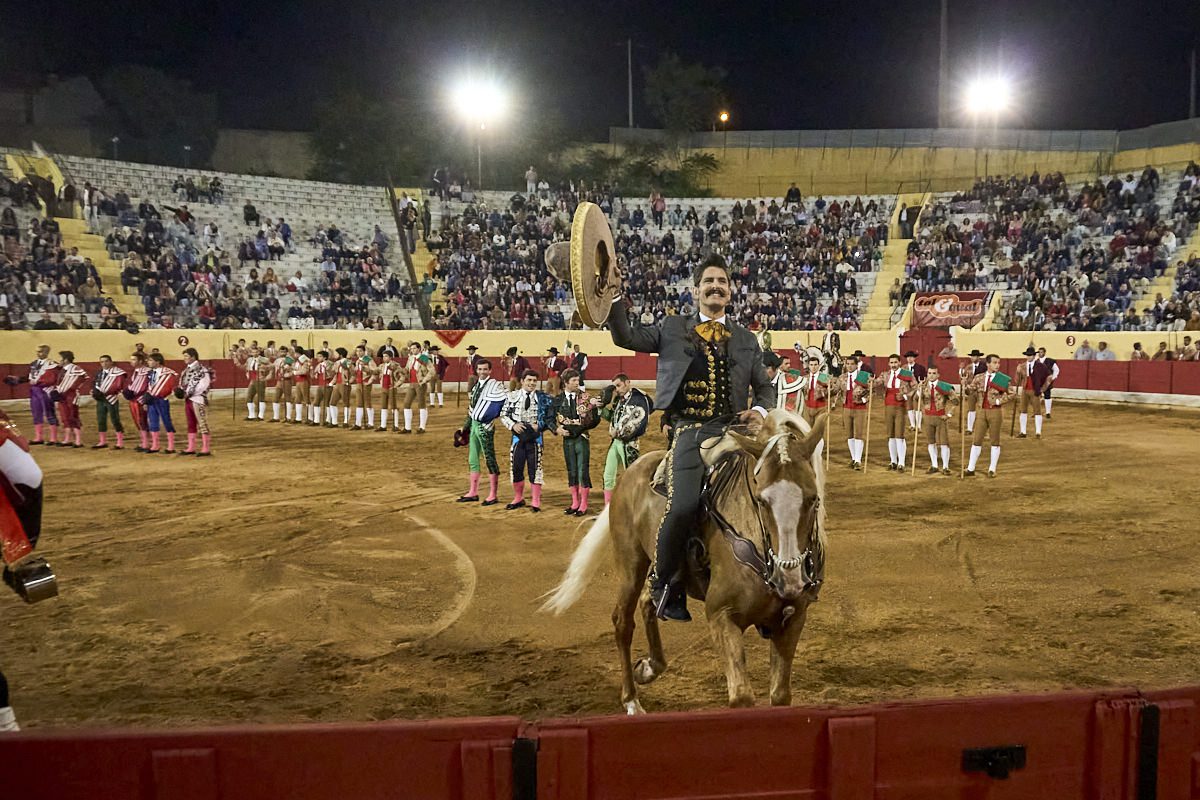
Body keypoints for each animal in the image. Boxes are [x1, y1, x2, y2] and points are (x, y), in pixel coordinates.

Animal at [542, 409, 828, 712]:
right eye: (762, 500)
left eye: (813, 498)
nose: (790, 581)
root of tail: (634, 468)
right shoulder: (721, 615)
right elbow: (741, 697)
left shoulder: (793, 620)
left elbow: (780, 695)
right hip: (631, 562)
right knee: (623, 621)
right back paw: (631, 700)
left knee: (649, 601)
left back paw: (649, 667)